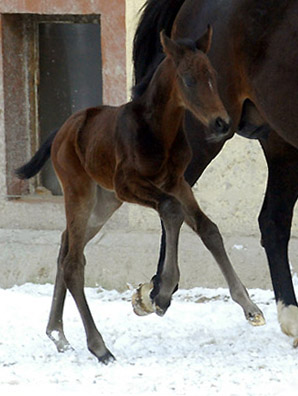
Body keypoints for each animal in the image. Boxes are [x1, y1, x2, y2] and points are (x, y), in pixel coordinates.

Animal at [16, 27, 264, 362]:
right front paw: (162, 293)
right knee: (73, 262)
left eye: (213, 75)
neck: (158, 131)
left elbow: (208, 229)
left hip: (104, 202)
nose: (221, 122)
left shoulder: (176, 181)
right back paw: (99, 347)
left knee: (66, 246)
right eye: (188, 79)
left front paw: (250, 308)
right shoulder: (129, 184)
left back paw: (58, 335)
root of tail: (61, 132)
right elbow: (171, 210)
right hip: (81, 192)